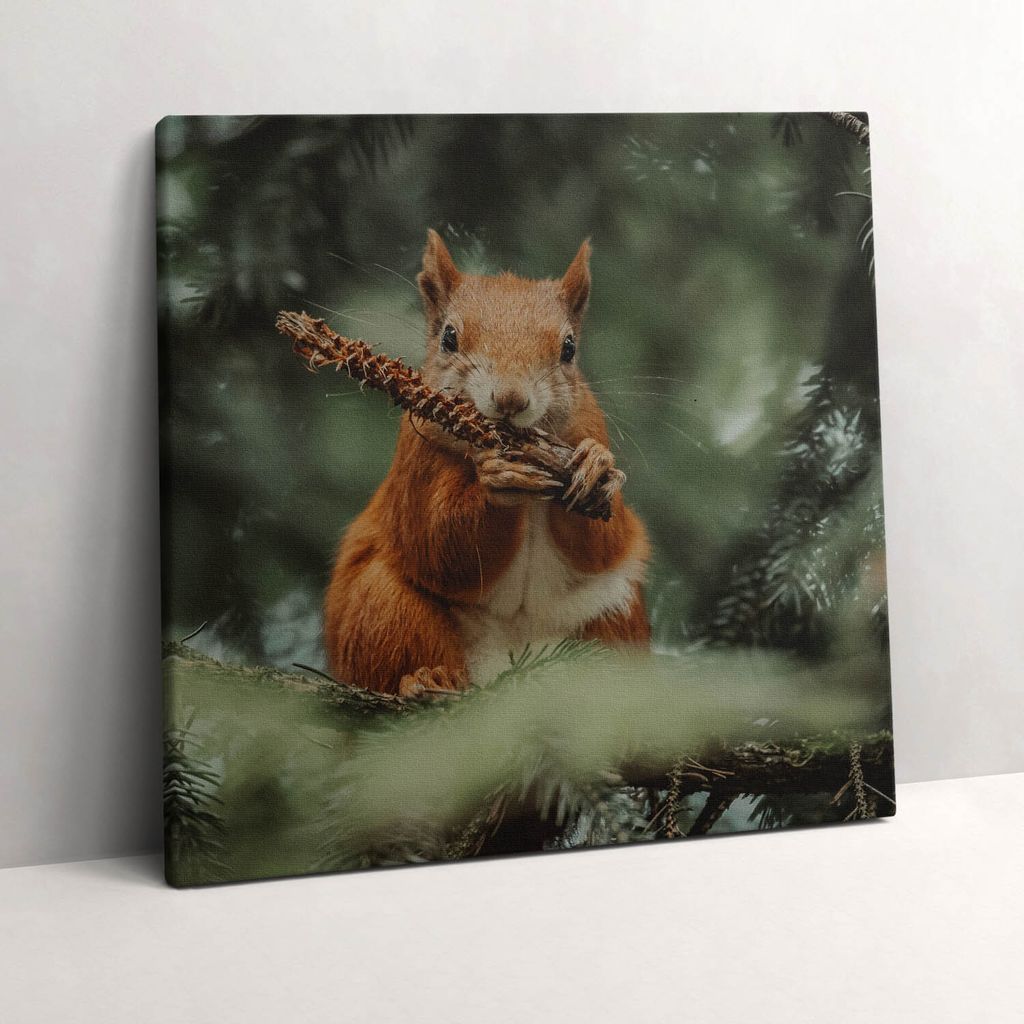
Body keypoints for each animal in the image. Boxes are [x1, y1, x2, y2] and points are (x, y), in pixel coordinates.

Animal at [324, 230, 651, 696]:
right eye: (449, 338)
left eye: (569, 348)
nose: (511, 399)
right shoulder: (416, 461)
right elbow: (441, 542)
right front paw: (497, 483)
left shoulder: (592, 426)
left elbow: (603, 543)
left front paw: (595, 467)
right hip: (382, 608)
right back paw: (429, 678)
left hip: (615, 618)